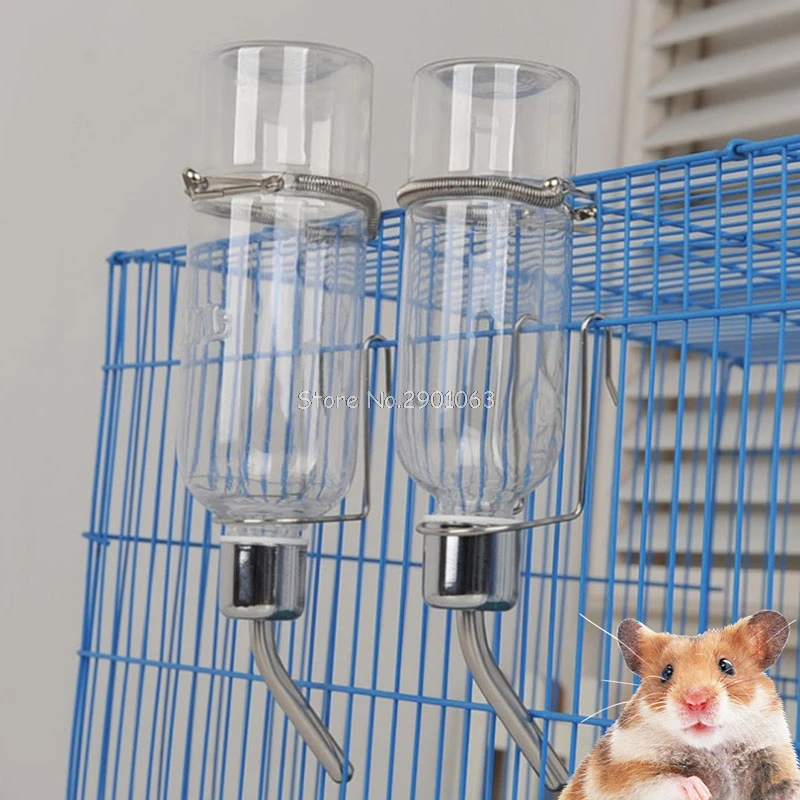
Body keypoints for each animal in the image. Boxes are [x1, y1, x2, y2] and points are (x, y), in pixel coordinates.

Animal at [559, 610, 800, 800]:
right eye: (666, 672)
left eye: (726, 666)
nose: (696, 700)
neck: (714, 750)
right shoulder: (620, 774)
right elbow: (662, 781)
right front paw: (699, 791)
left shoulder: (778, 766)